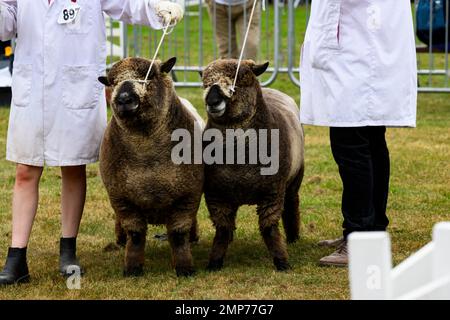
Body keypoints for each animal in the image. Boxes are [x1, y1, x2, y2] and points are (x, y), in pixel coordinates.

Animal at [99, 57, 206, 278]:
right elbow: (136, 234)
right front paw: (132, 268)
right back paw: (120, 239)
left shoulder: (187, 195)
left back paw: (193, 237)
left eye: (150, 76)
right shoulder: (122, 198)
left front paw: (185, 268)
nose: (123, 99)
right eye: (112, 82)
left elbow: (178, 234)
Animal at [201, 58, 304, 272]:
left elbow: (269, 229)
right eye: (205, 83)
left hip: (294, 179)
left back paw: (293, 237)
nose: (212, 102)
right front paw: (215, 262)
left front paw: (282, 262)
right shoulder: (216, 194)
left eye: (240, 78)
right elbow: (222, 230)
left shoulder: (272, 193)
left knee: (292, 204)